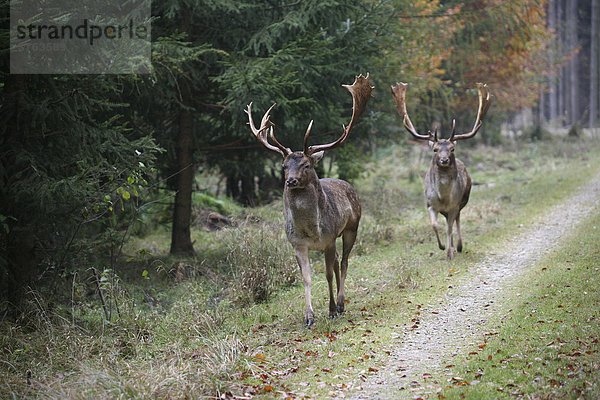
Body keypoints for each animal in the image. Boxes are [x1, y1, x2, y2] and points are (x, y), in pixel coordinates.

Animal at [246, 73, 372, 326]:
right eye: (284, 166)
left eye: (306, 164)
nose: (291, 181)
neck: (311, 231)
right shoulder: (297, 244)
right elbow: (306, 277)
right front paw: (308, 316)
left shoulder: (329, 238)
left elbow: (328, 274)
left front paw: (331, 310)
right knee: (338, 262)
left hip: (352, 227)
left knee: (344, 262)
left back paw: (341, 303)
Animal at [390, 83, 492, 260]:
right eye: (435, 149)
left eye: (452, 149)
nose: (444, 160)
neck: (443, 198)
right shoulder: (430, 204)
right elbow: (434, 225)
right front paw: (442, 246)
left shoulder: (454, 205)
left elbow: (449, 228)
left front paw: (449, 251)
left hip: (462, 201)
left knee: (457, 220)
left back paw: (458, 246)